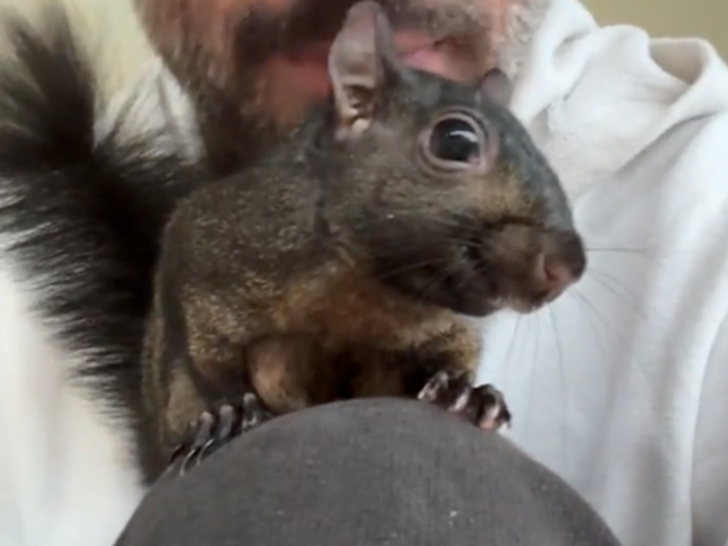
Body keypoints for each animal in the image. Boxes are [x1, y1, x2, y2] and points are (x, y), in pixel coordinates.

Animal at [142, 1, 587, 474]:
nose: (569, 264)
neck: (370, 287)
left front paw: (465, 392)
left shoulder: (441, 325)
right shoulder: (214, 248)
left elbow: (456, 348)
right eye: (456, 141)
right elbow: (206, 349)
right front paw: (230, 410)